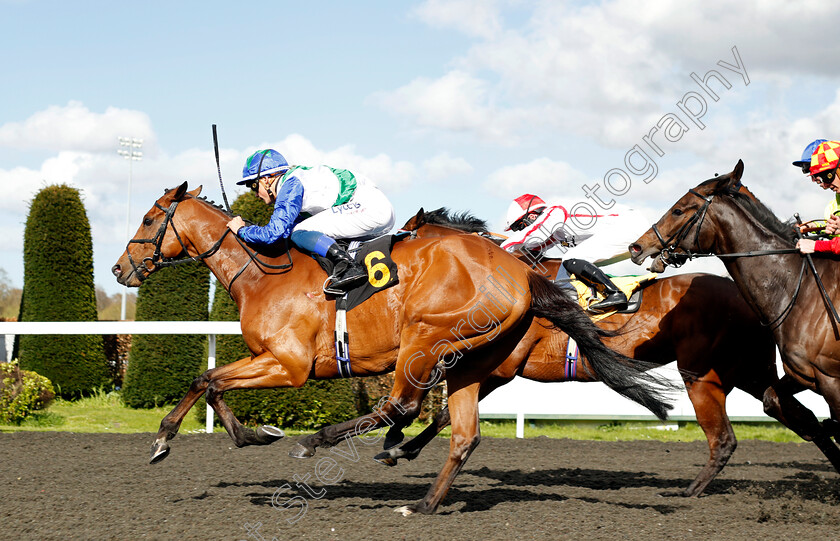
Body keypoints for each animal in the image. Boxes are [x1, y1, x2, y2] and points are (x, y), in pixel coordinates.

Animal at [113, 182, 676, 516]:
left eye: (148, 220)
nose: (120, 269)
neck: (262, 273)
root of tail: (520, 274)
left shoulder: (289, 365)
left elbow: (207, 379)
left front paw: (172, 439)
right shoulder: (272, 361)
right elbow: (207, 381)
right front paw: (246, 435)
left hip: (424, 338)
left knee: (401, 405)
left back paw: (327, 442)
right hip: (473, 360)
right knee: (461, 432)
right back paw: (423, 502)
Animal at [380, 209, 840, 496]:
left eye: (407, 236)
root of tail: (747, 294)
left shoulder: (500, 368)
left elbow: (444, 411)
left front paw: (398, 446)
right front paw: (397, 444)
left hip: (704, 374)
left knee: (728, 436)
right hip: (747, 370)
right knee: (797, 415)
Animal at [632, 158, 840, 470]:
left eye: (679, 209)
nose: (637, 247)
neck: (800, 288)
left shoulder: (831, 379)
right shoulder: (804, 374)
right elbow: (773, 400)